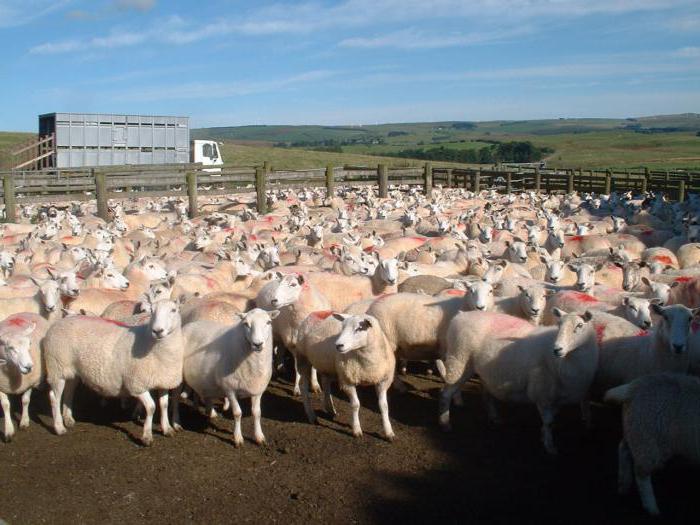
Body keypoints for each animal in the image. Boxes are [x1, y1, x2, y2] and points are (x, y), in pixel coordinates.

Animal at [42, 296, 186, 444]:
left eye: (174, 310)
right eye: (152, 311)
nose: (157, 331)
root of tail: (61, 321)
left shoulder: (164, 380)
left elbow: (164, 405)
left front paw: (167, 429)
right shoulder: (136, 384)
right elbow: (151, 407)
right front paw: (147, 436)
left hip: (72, 370)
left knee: (69, 391)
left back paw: (68, 419)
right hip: (56, 366)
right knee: (54, 397)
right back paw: (59, 427)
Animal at [175, 308, 278, 446]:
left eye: (268, 322)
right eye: (246, 324)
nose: (257, 344)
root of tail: (187, 326)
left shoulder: (257, 390)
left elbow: (257, 413)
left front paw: (259, 437)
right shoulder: (229, 389)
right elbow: (237, 413)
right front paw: (238, 438)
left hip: (198, 375)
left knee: (198, 390)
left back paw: (202, 410)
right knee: (174, 400)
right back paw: (176, 423)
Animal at [438, 308, 596, 454]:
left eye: (580, 325)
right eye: (559, 325)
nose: (557, 349)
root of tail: (461, 315)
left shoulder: (555, 397)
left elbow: (550, 421)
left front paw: (543, 437)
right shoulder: (542, 393)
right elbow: (549, 422)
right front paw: (550, 447)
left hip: (483, 372)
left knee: (487, 396)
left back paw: (494, 418)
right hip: (459, 359)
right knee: (446, 394)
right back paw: (445, 423)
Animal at [600, 372, 700, 516]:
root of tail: (632, 388)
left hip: (636, 430)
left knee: (624, 448)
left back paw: (624, 485)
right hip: (649, 439)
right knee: (641, 474)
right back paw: (651, 508)